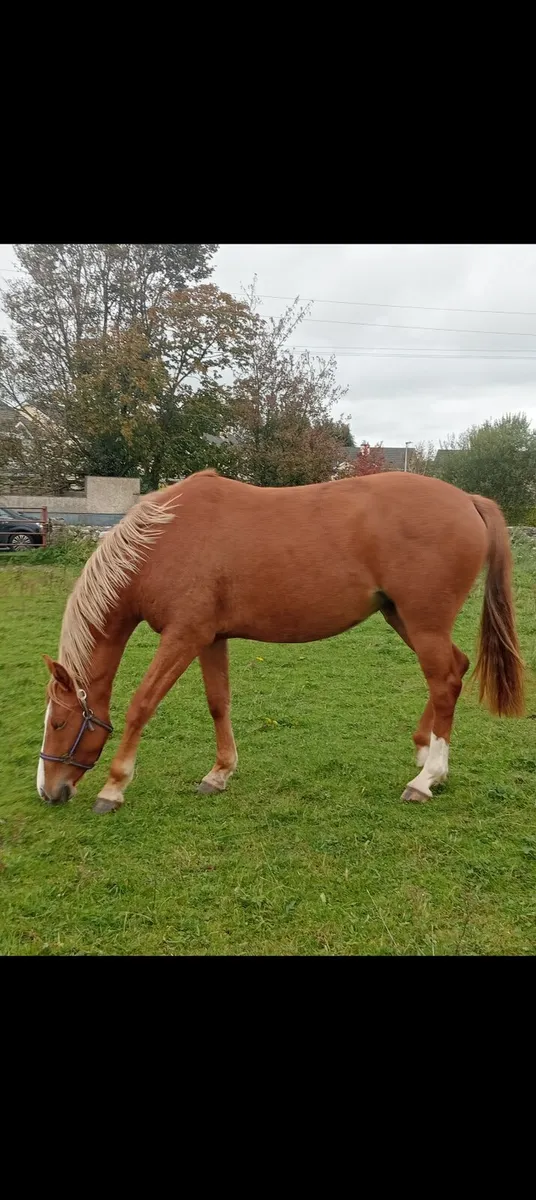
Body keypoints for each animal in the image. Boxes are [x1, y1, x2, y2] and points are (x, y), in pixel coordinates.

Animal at [37, 469, 524, 814]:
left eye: (59, 723)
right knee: (455, 669)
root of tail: (467, 499)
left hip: (423, 624)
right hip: (403, 617)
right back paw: (425, 755)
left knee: (444, 681)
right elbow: (219, 703)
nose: (48, 791)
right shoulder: (209, 638)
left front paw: (114, 787)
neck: (165, 538)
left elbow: (142, 704)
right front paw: (219, 773)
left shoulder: (183, 637)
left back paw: (426, 780)